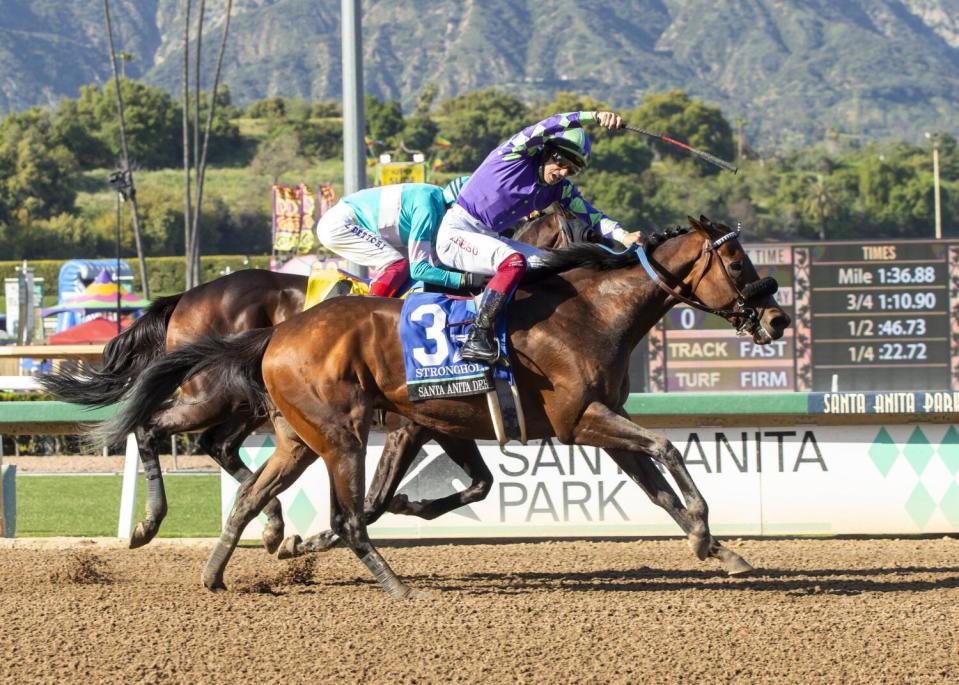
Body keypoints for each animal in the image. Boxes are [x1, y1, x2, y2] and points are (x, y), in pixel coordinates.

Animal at [95, 216, 788, 596]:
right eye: (735, 260)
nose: (778, 317)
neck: (591, 312)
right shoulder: (576, 421)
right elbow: (669, 449)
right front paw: (707, 530)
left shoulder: (487, 422)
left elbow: (657, 489)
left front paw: (718, 548)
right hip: (285, 416)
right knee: (162, 430)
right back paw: (153, 524)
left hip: (295, 432)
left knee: (243, 480)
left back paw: (237, 557)